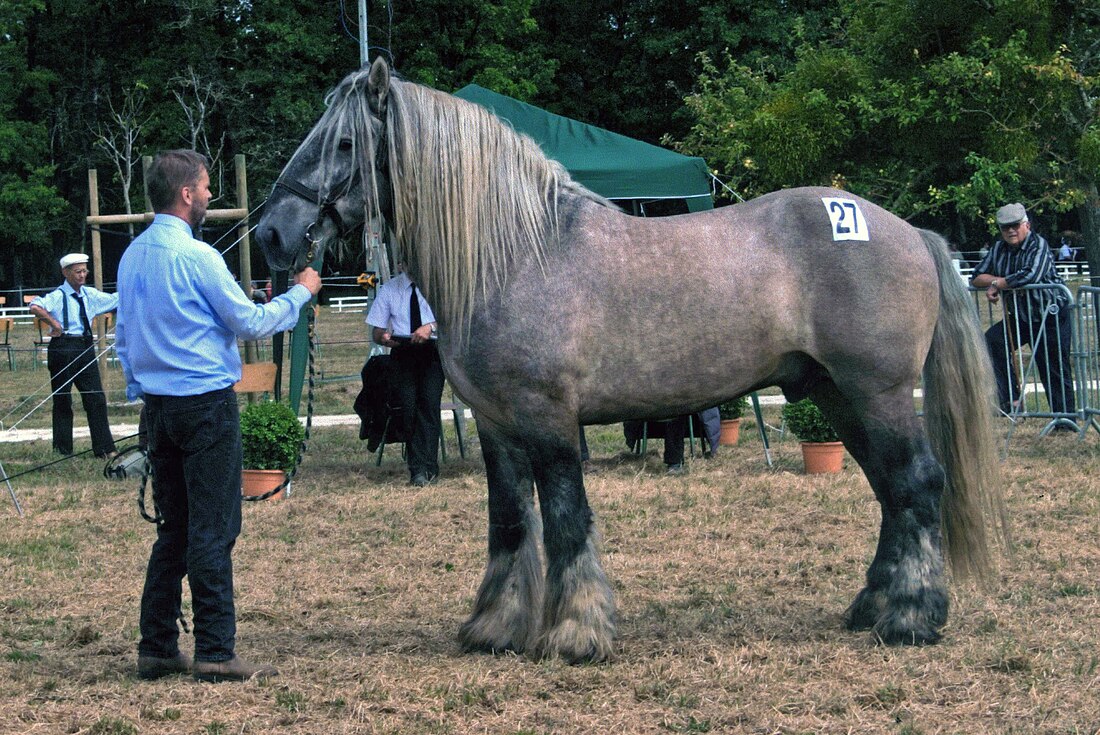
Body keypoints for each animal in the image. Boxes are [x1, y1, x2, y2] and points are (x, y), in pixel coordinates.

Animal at [255, 60, 1007, 664]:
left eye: (345, 142)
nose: (271, 235)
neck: (518, 253)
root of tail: (910, 233)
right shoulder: (497, 426)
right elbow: (509, 522)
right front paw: (495, 629)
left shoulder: (549, 421)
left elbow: (566, 520)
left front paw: (575, 634)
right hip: (836, 397)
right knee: (891, 493)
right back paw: (870, 608)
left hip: (878, 393)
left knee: (916, 484)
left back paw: (911, 618)